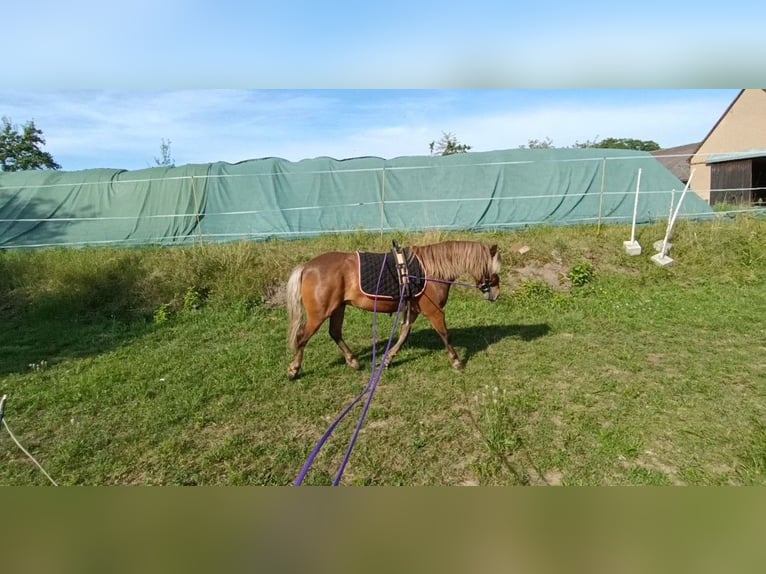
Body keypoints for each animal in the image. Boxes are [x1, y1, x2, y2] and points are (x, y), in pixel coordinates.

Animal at [284, 241, 500, 380]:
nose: (496, 294)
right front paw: (456, 362)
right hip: (320, 313)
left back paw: (353, 361)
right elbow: (445, 335)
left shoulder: (412, 310)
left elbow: (403, 335)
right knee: (302, 338)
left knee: (334, 333)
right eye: (494, 269)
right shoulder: (434, 311)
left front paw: (387, 360)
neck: (430, 271)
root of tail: (307, 267)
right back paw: (294, 370)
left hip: (338, 308)